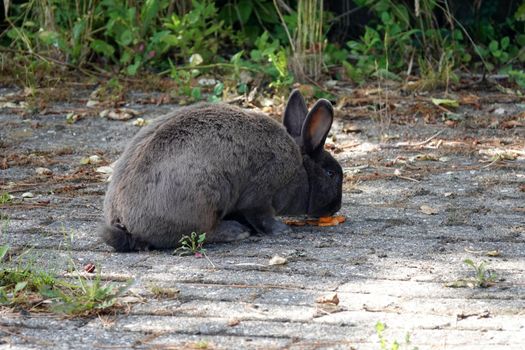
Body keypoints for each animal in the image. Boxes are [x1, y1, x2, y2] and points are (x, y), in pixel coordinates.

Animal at [100, 88, 342, 252]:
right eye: (331, 174)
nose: (335, 208)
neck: (300, 170)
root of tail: (123, 222)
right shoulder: (260, 196)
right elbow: (262, 217)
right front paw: (282, 230)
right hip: (206, 199)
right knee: (202, 232)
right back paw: (236, 231)